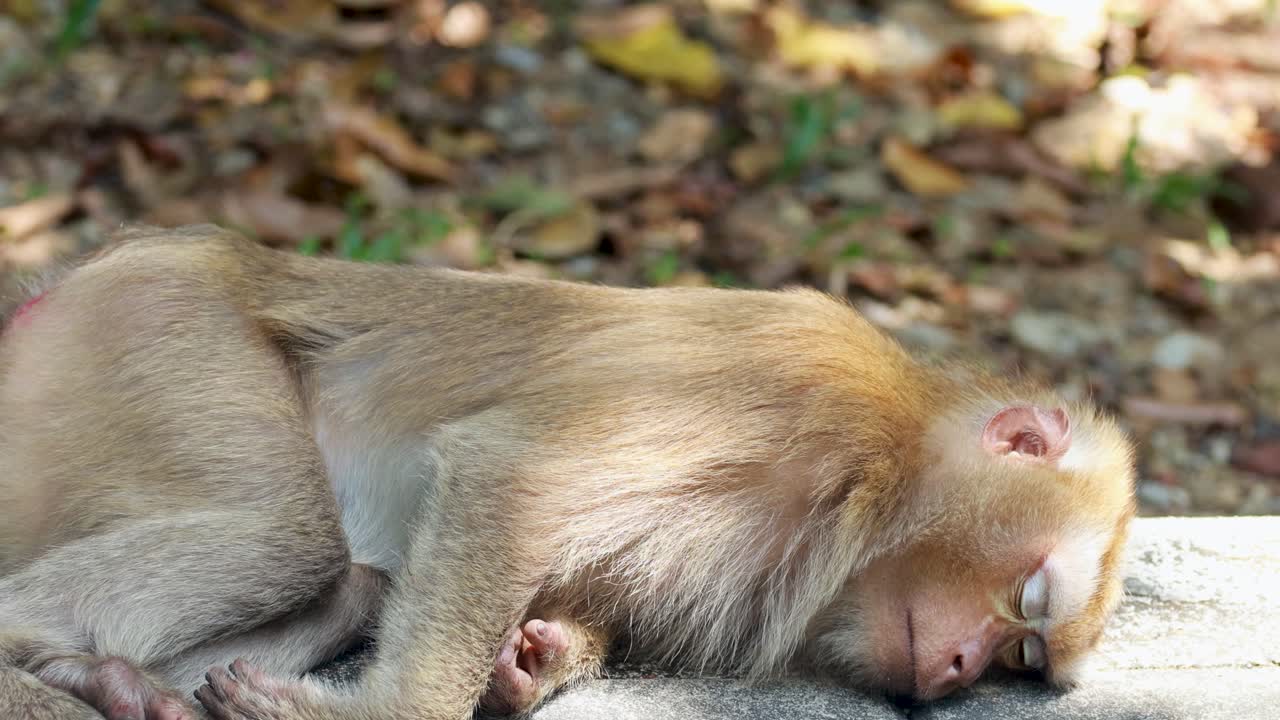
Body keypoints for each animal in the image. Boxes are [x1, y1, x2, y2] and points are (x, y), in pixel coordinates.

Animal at [0, 224, 1136, 720]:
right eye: (1027, 599)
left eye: (1019, 658)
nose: (958, 669)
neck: (893, 460)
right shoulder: (794, 398)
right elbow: (512, 479)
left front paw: (536, 658)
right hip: (158, 322)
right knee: (289, 539)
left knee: (354, 579)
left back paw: (102, 679)